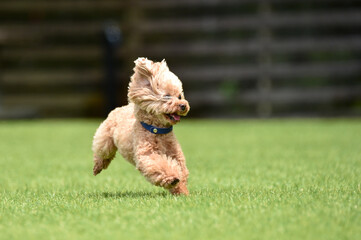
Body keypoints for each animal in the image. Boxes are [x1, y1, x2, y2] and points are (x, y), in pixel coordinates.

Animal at [91, 56, 190, 195]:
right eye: (167, 96)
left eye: (180, 96)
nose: (183, 106)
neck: (158, 130)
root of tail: (124, 106)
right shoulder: (147, 154)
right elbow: (160, 165)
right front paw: (172, 178)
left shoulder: (175, 154)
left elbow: (182, 171)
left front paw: (181, 191)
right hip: (105, 139)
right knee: (102, 152)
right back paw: (98, 166)